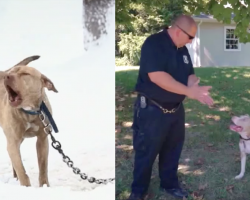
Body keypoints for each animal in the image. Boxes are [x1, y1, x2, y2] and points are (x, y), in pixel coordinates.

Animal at [0, 55, 58, 187]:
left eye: (25, 74)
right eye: (12, 72)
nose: (7, 76)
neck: (29, 112)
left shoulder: (42, 139)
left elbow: (43, 167)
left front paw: (45, 186)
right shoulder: (12, 142)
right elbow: (22, 170)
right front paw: (26, 187)